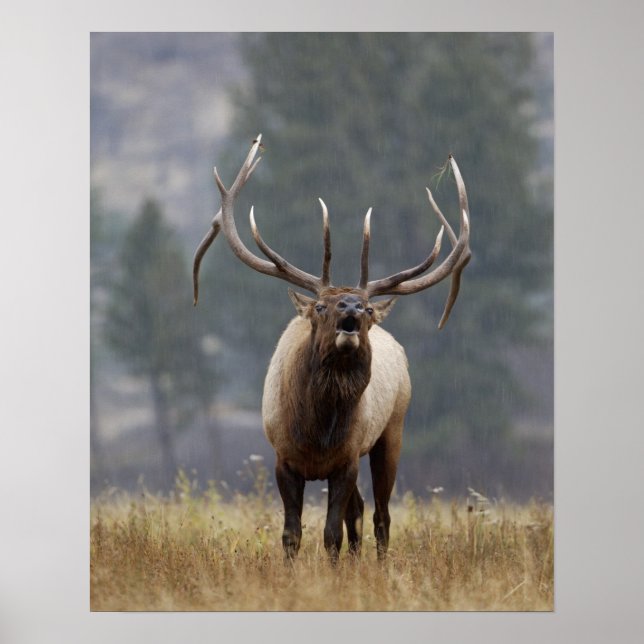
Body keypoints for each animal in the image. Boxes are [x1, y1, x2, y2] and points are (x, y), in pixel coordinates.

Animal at [193, 135, 471, 562]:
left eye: (369, 309)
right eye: (321, 306)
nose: (352, 307)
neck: (317, 431)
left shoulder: (346, 459)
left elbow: (331, 533)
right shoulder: (283, 459)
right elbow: (292, 533)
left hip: (392, 430)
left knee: (380, 514)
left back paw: (377, 564)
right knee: (359, 510)